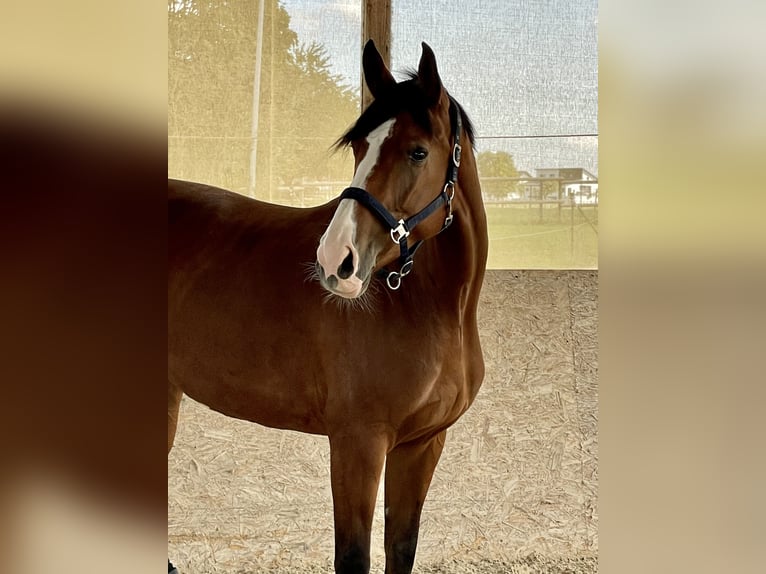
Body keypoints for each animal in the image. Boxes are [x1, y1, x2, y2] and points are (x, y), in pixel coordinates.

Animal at [171, 41, 488, 574]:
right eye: (359, 148)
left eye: (418, 151)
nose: (335, 259)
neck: (438, 310)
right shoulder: (358, 443)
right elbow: (353, 556)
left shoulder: (422, 444)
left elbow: (401, 548)